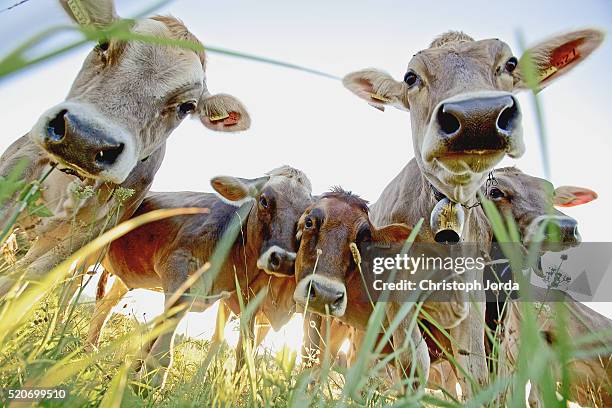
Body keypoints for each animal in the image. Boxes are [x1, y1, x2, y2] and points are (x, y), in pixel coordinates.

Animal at [0, 0, 250, 300]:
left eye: (187, 106)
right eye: (103, 43)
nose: (85, 139)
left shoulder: (95, 231)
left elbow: (31, 275)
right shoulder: (17, 165)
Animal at [87, 167, 310, 388]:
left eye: (305, 218)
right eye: (264, 200)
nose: (284, 260)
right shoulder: (177, 268)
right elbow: (165, 337)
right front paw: (148, 381)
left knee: (105, 306)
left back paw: (91, 350)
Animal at [340, 27, 604, 396]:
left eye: (510, 63)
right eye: (410, 77)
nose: (477, 116)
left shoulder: (480, 299)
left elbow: (480, 374)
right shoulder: (395, 289)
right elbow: (412, 365)